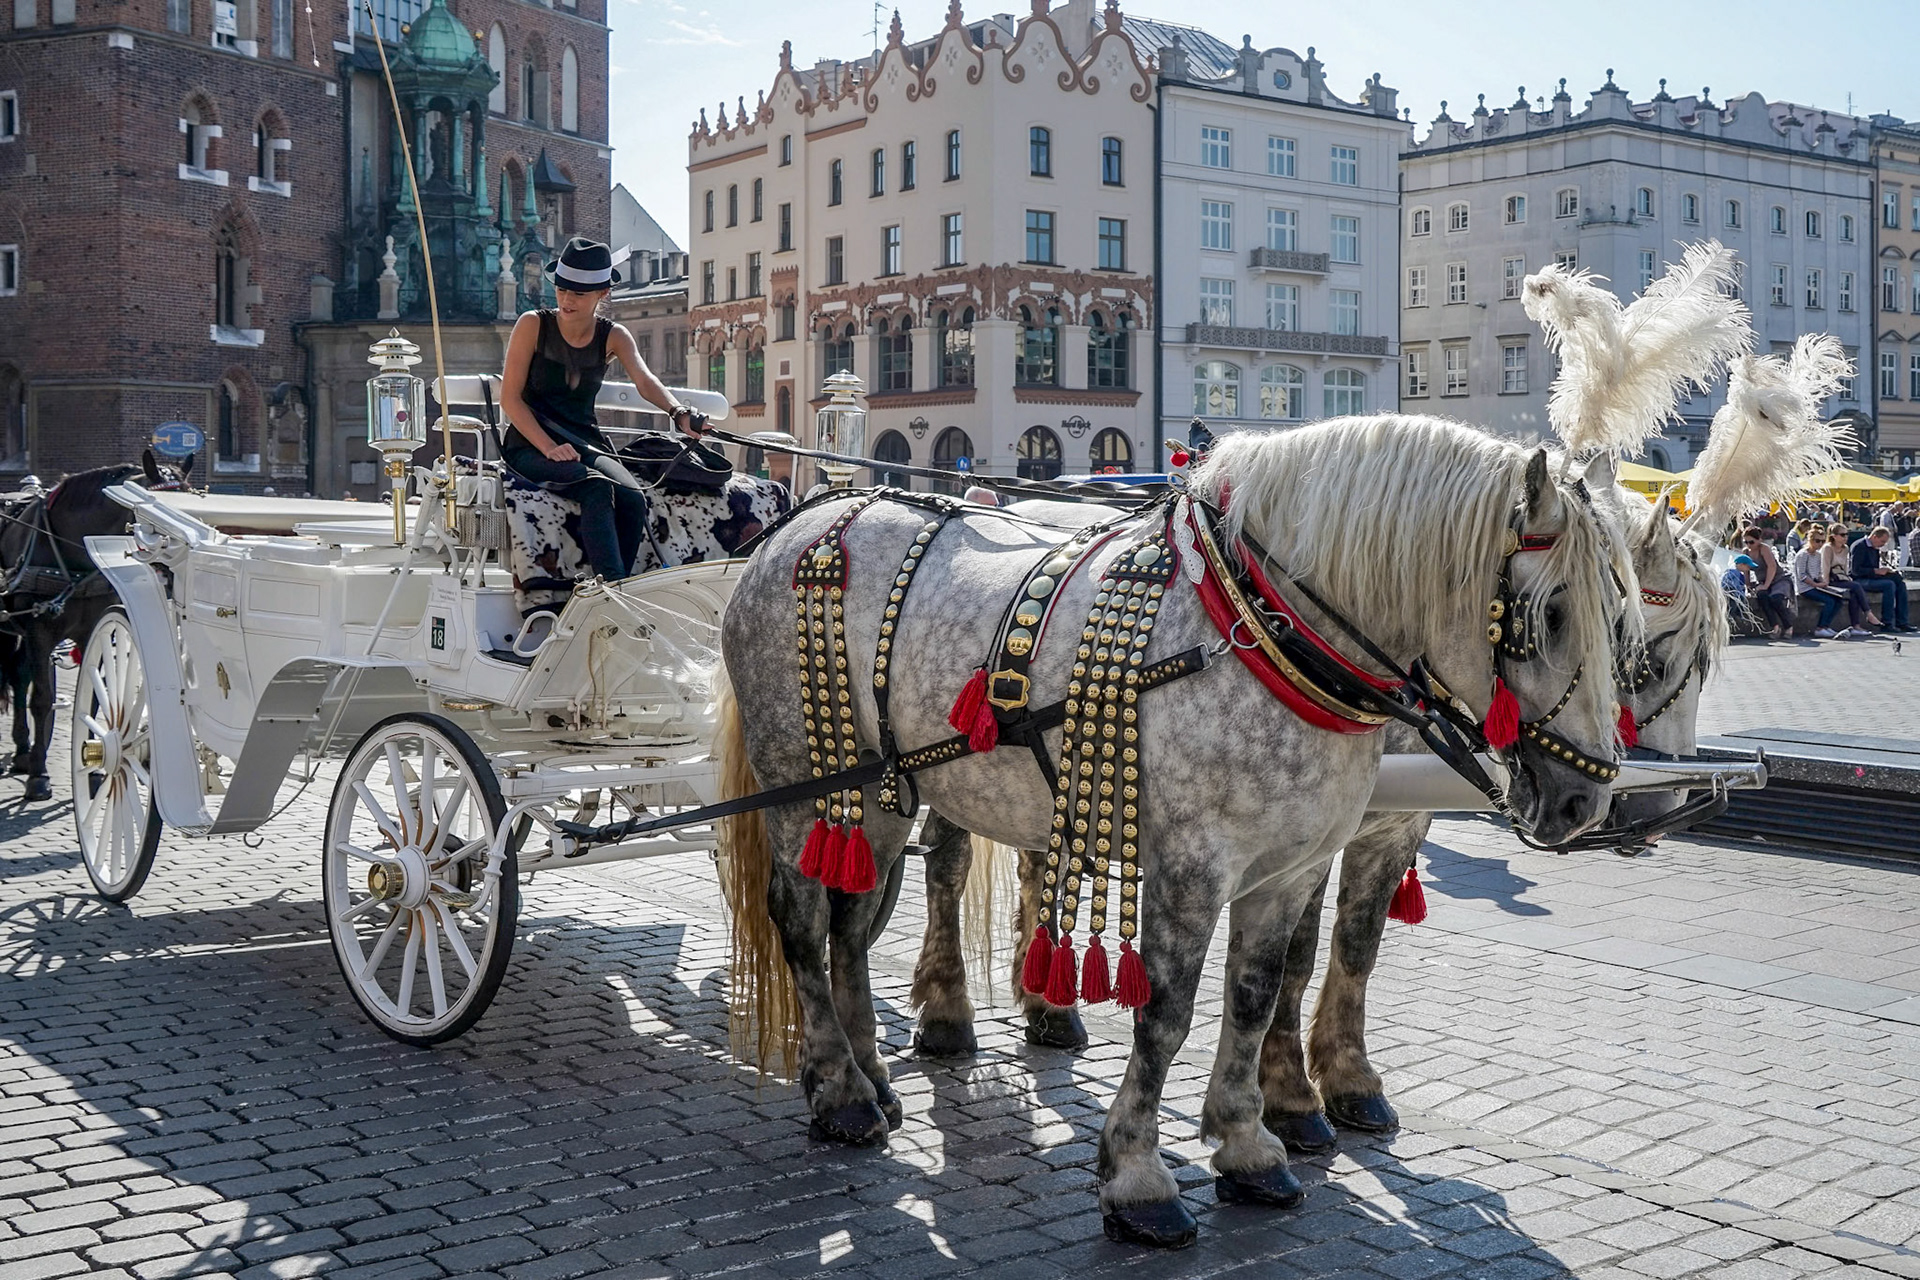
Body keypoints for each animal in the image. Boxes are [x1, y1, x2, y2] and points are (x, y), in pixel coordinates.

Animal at [0, 452, 191, 802]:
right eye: (158, 520)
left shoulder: (91, 630)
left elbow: (91, 698)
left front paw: (92, 766)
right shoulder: (38, 632)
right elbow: (43, 700)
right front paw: (39, 777)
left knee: (19, 677)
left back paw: (21, 751)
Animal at [717, 414, 1634, 1247]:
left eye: (1620, 616)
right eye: (1550, 615)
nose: (1587, 802)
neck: (1256, 631)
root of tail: (798, 524)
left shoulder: (1288, 869)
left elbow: (1256, 995)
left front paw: (1249, 1145)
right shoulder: (1192, 867)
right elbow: (1167, 1012)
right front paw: (1138, 1176)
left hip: (879, 793)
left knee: (851, 923)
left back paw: (870, 1074)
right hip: (803, 780)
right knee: (802, 920)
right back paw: (840, 1091)